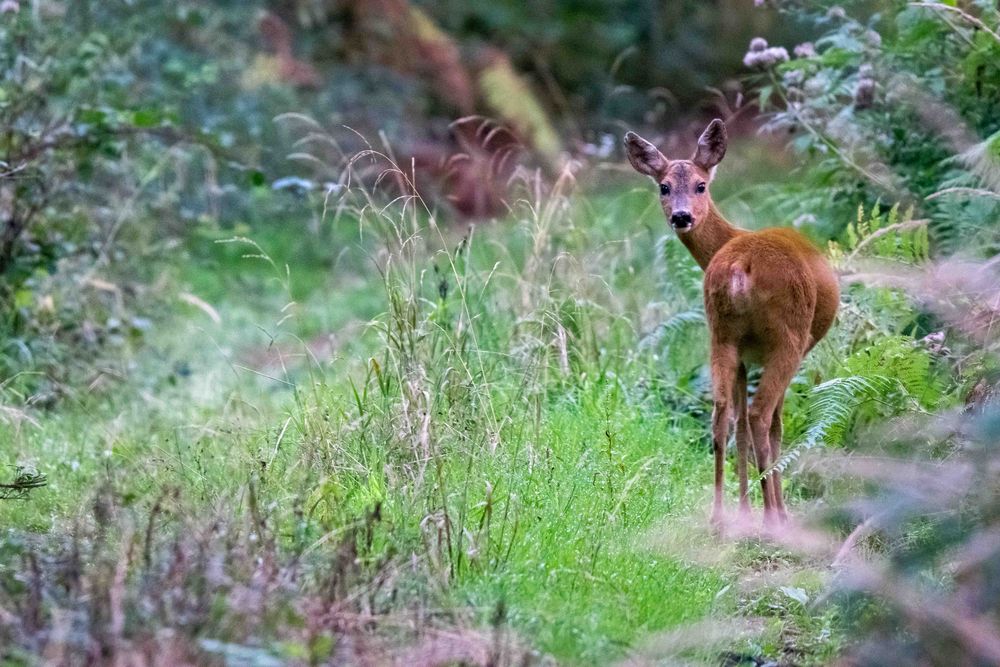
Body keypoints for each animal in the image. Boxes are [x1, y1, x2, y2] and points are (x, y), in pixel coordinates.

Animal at [620, 120, 840, 528]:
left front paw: (742, 510)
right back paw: (773, 517)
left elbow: (736, 422)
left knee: (721, 415)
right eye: (664, 186)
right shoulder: (784, 349)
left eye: (700, 185)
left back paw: (720, 516)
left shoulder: (742, 354)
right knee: (761, 416)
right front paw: (770, 509)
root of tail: (740, 267)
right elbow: (773, 425)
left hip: (720, 333)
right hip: (788, 336)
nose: (681, 216)